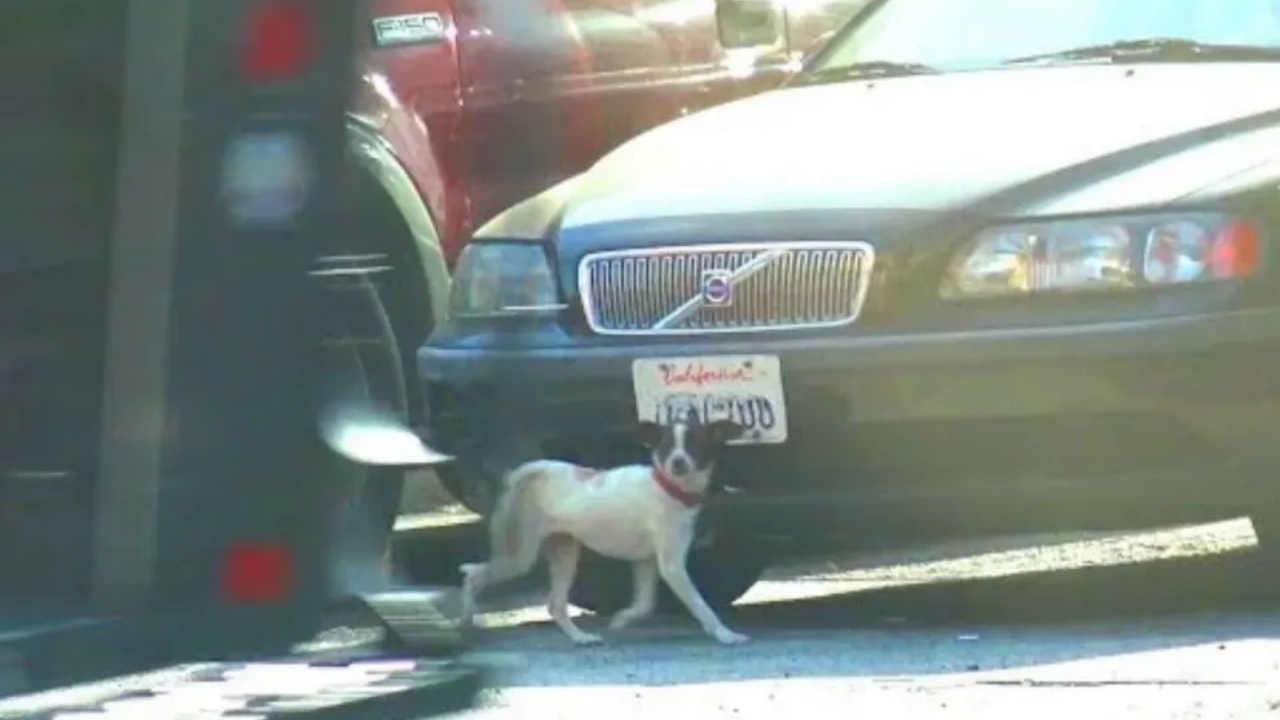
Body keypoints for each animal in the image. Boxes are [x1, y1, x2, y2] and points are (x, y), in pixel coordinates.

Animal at [458, 409, 747, 645]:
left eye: (694, 445)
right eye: (666, 447)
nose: (678, 462)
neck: (668, 488)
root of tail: (526, 473)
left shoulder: (646, 562)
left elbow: (645, 603)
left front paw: (622, 619)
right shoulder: (672, 566)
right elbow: (700, 605)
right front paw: (725, 634)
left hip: (564, 553)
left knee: (555, 605)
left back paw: (581, 638)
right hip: (519, 557)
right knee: (474, 575)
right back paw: (466, 619)